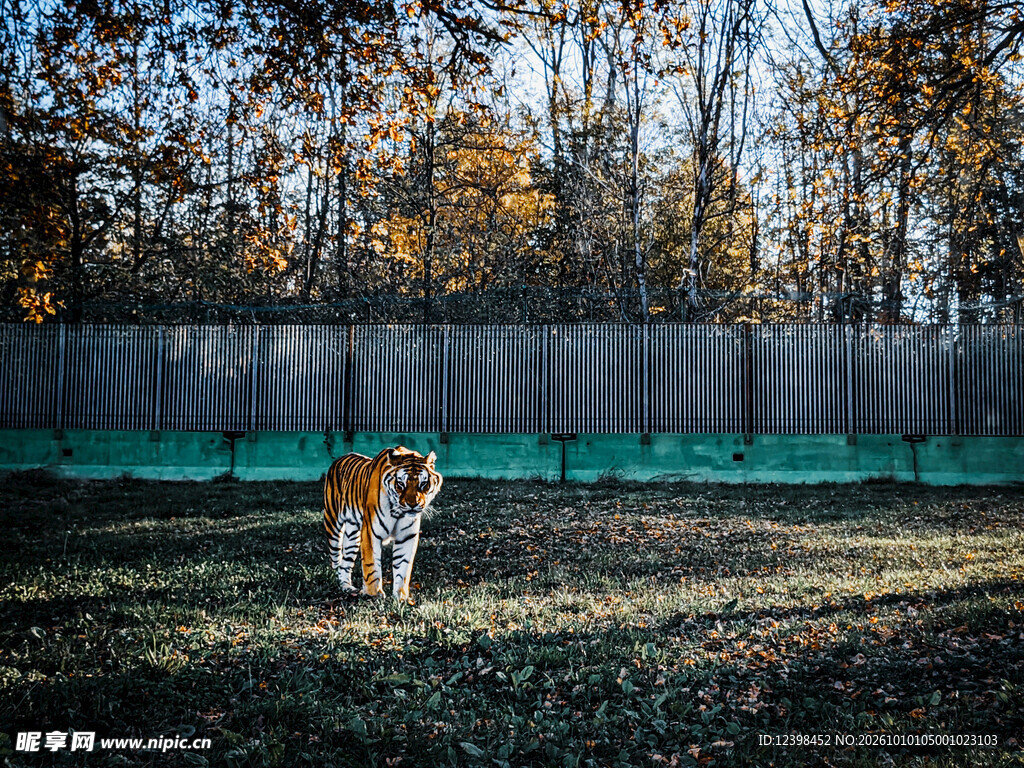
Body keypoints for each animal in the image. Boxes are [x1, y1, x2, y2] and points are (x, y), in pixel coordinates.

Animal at [323, 446, 443, 602]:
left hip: (353, 536)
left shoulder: (407, 536)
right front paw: (374, 594)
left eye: (423, 484)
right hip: (333, 525)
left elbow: (403, 567)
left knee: (345, 563)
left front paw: (401, 597)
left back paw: (347, 587)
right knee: (336, 557)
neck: (398, 512)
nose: (412, 505)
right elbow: (371, 565)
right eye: (400, 484)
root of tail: (339, 458)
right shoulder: (370, 532)